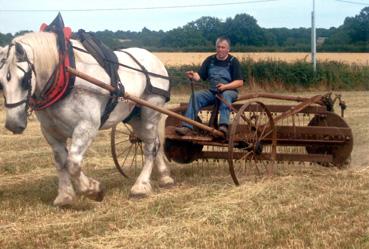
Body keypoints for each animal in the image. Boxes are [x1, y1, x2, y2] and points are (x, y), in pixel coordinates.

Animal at [0, 31, 174, 206]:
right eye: (1, 83)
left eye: (24, 80)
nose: (13, 124)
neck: (65, 75)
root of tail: (155, 59)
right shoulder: (50, 131)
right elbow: (60, 161)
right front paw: (65, 196)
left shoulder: (87, 126)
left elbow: (73, 162)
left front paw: (93, 190)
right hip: (135, 117)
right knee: (154, 142)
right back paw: (165, 177)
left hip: (150, 112)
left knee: (150, 147)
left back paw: (141, 186)